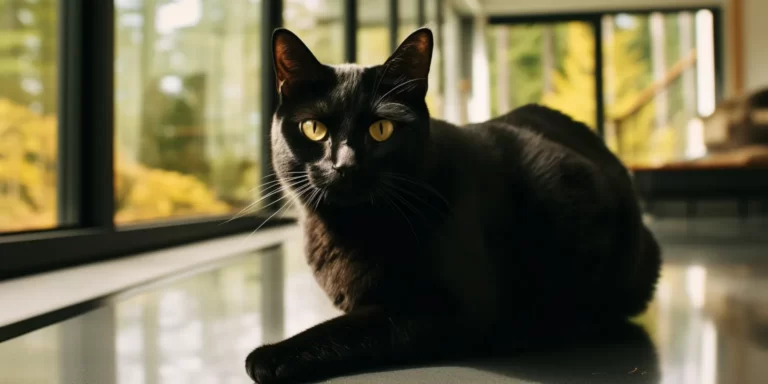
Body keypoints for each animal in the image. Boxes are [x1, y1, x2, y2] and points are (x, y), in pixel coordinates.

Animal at [244, 27, 660, 384]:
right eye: (314, 129)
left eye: (381, 129)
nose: (344, 165)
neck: (349, 229)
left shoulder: (450, 310)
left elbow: (355, 328)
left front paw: (272, 355)